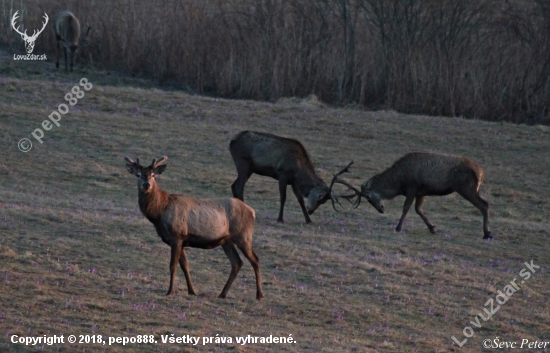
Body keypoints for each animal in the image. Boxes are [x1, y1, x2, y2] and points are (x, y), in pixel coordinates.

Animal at [125, 155, 266, 298]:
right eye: (138, 174)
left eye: (153, 175)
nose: (146, 184)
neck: (159, 213)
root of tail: (252, 212)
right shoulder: (180, 240)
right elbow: (185, 266)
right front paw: (192, 291)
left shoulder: (177, 236)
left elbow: (173, 266)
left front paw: (170, 291)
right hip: (227, 241)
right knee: (237, 262)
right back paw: (222, 293)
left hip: (244, 236)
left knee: (255, 260)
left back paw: (259, 295)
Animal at [338, 152, 494, 239]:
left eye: (368, 197)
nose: (381, 209)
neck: (399, 183)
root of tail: (482, 173)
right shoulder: (421, 192)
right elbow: (418, 210)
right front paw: (432, 228)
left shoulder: (412, 187)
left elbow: (406, 207)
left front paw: (398, 228)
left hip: (466, 188)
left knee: (484, 204)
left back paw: (487, 233)